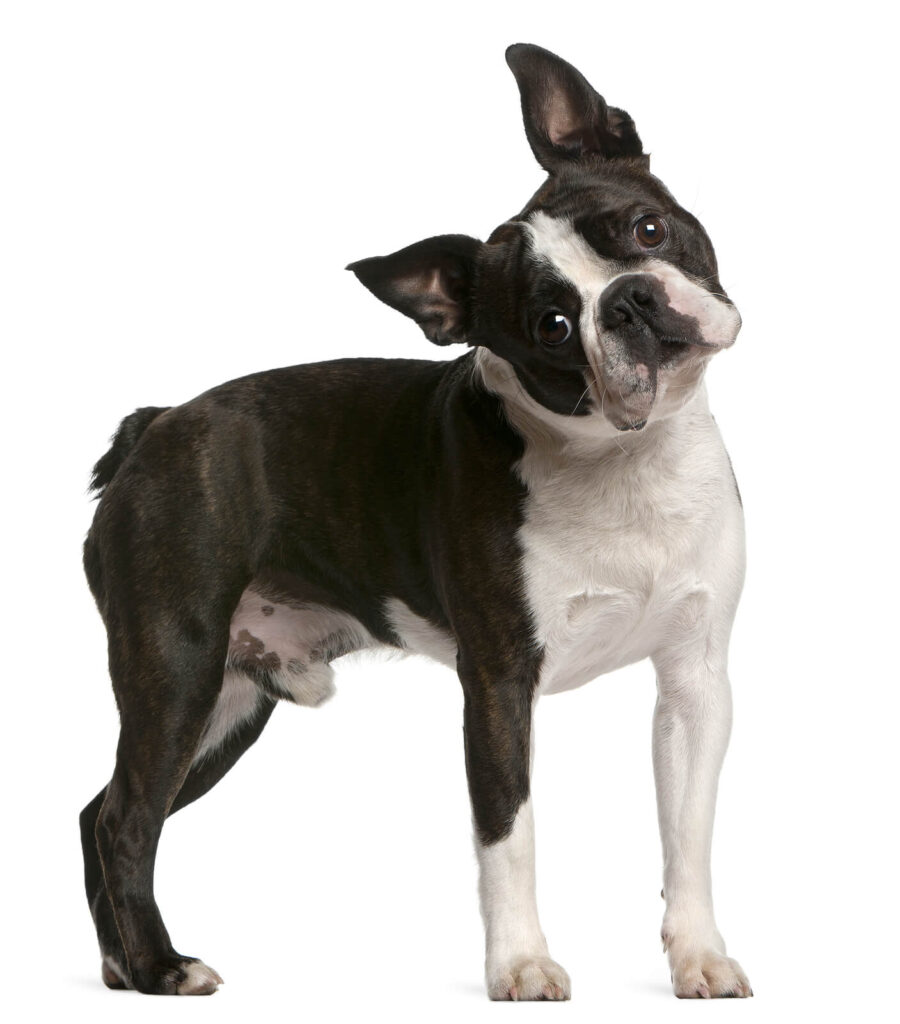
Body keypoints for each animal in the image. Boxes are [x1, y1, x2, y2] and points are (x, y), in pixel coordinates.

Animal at [77, 44, 753, 995]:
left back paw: (119, 963)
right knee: (127, 819)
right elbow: (509, 835)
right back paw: (162, 969)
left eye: (649, 231)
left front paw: (699, 955)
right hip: (178, 669)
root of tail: (152, 426)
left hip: (230, 701)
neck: (629, 459)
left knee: (98, 808)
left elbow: (687, 831)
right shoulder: (499, 684)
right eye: (551, 325)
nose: (627, 301)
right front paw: (521, 966)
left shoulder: (696, 681)